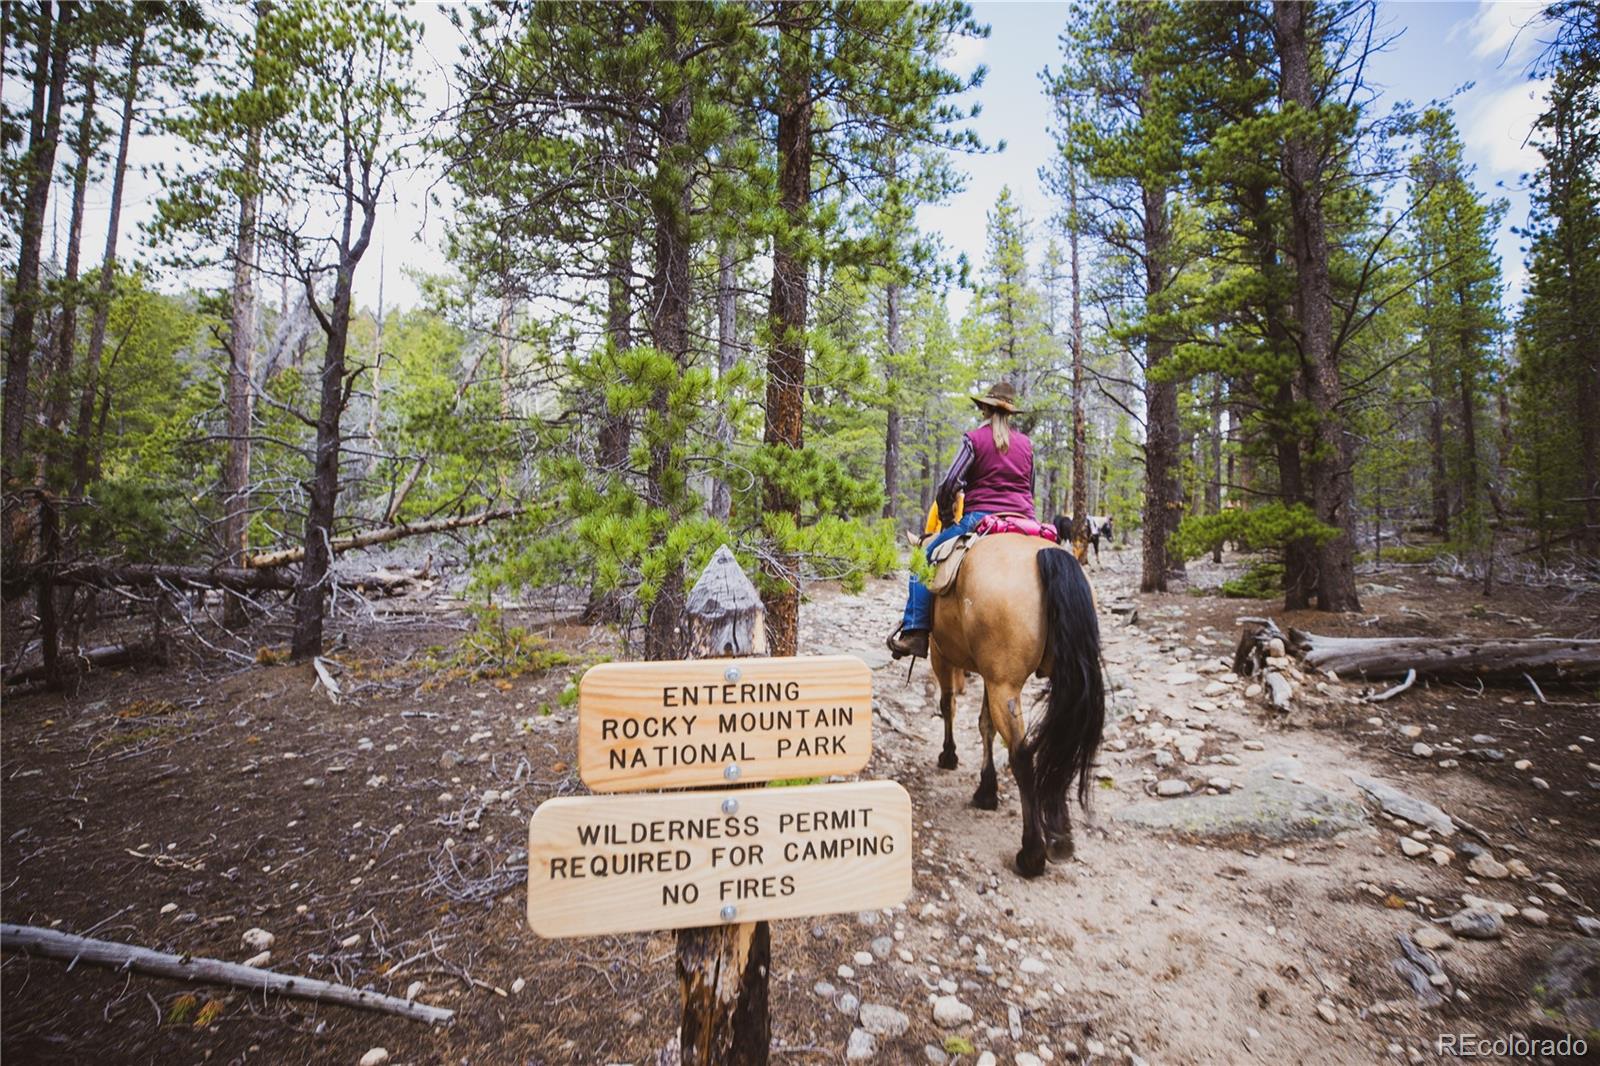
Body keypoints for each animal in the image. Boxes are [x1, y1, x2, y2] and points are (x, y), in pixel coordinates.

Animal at [928, 528, 1100, 870]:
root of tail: (1047, 555)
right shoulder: (987, 675)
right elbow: (985, 725)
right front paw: (986, 790)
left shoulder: (939, 654)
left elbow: (948, 705)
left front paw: (949, 755)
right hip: (1054, 679)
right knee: (1060, 741)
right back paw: (1060, 837)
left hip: (1004, 685)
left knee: (1022, 755)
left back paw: (1031, 853)